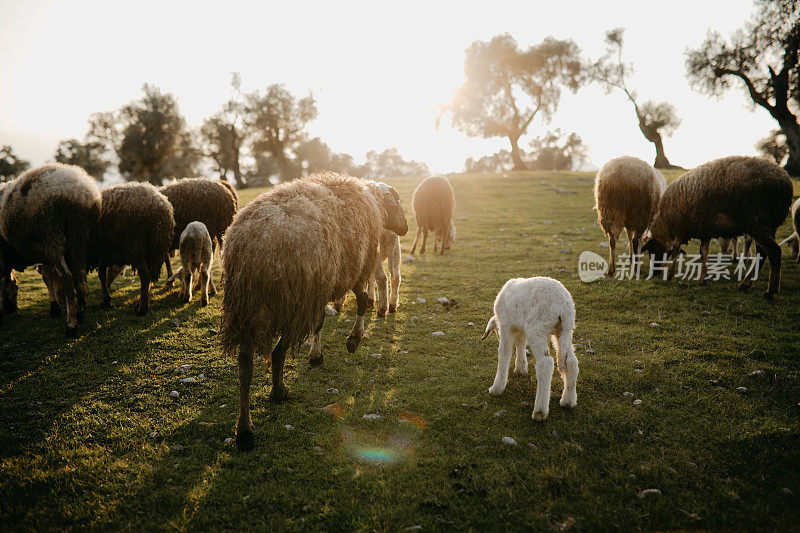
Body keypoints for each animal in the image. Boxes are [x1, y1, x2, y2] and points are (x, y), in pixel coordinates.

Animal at [0, 163, 101, 336]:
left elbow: (5, 282)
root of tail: (77, 190)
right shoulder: (43, 255)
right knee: (80, 277)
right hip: (79, 235)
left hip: (52, 234)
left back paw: (71, 326)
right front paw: (55, 307)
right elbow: (47, 277)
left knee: (68, 279)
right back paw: (80, 313)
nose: (11, 309)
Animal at [88, 183, 174, 316]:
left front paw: (105, 299)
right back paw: (140, 302)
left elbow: (101, 273)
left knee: (145, 274)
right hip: (154, 249)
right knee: (150, 275)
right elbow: (102, 272)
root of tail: (162, 207)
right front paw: (106, 297)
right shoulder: (106, 252)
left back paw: (142, 308)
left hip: (136, 247)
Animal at [220, 171, 410, 448]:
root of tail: (254, 249)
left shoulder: (323, 285)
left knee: (245, 366)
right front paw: (353, 340)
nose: (405, 228)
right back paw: (278, 391)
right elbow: (362, 302)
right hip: (293, 304)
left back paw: (244, 429)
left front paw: (317, 353)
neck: (372, 202)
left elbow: (321, 321)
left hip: (246, 308)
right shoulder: (354, 268)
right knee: (278, 353)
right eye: (396, 202)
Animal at [478, 276, 580, 422]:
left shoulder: (505, 325)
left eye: (496, 331)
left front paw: (496, 388)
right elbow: (520, 344)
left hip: (537, 327)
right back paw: (568, 401)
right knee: (571, 361)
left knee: (546, 363)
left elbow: (504, 353)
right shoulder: (520, 328)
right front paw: (520, 368)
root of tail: (563, 305)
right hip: (565, 330)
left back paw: (539, 412)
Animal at [640, 155, 792, 300]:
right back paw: (745, 283)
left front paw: (670, 274)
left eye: (652, 251)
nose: (655, 273)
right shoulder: (704, 229)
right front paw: (703, 278)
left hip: (758, 220)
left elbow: (677, 248)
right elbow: (704, 252)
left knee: (774, 251)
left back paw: (770, 291)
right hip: (767, 224)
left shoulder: (681, 227)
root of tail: (786, 182)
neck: (664, 222)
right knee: (762, 252)